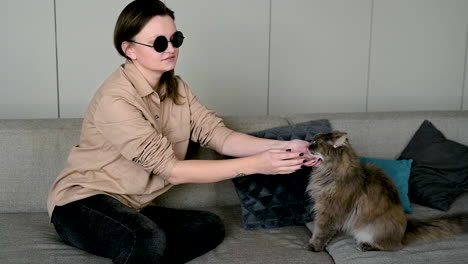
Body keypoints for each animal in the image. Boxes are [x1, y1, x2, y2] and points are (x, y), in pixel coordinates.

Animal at [306, 131, 466, 252]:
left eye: (316, 143)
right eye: (312, 141)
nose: (307, 145)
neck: (329, 173)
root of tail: (405, 229)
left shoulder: (329, 210)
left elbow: (321, 230)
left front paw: (315, 246)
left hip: (373, 230)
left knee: (392, 247)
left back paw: (365, 246)